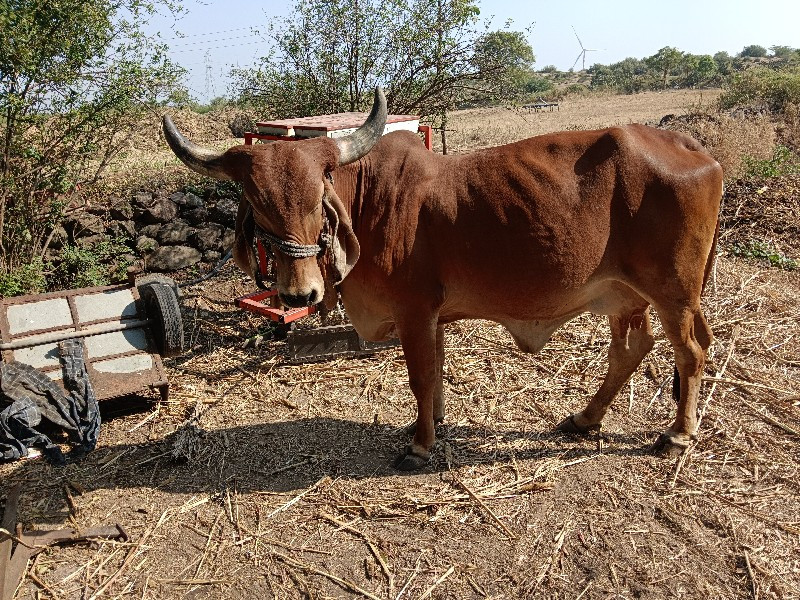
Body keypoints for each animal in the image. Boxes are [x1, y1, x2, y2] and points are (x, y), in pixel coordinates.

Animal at [161, 89, 720, 472]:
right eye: (257, 204)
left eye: (318, 196)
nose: (301, 293)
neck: (369, 200)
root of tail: (688, 143)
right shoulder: (435, 316)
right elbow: (436, 374)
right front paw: (432, 423)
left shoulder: (414, 311)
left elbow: (421, 376)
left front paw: (420, 445)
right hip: (625, 296)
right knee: (631, 350)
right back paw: (585, 419)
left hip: (674, 292)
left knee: (690, 351)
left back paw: (677, 434)